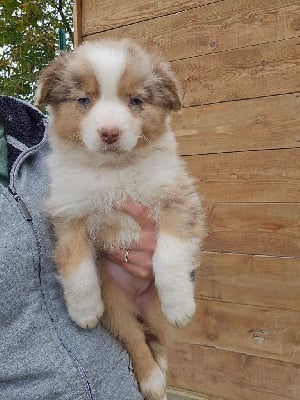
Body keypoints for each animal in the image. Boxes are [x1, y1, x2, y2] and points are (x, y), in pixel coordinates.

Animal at [36, 39, 205, 400]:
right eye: (84, 100)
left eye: (136, 101)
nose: (110, 133)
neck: (114, 172)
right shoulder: (68, 212)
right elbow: (76, 265)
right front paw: (83, 310)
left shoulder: (177, 198)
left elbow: (168, 256)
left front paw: (180, 305)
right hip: (115, 306)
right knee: (136, 340)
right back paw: (151, 379)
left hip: (153, 309)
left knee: (159, 339)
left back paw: (159, 373)